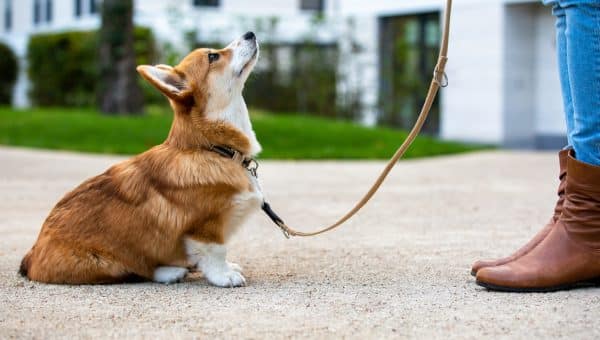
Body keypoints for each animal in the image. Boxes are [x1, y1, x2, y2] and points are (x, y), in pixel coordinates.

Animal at [20, 31, 262, 286]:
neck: (211, 147)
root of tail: (31, 256)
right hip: (108, 263)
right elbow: (216, 251)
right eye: (213, 56)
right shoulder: (205, 227)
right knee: (136, 270)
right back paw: (170, 272)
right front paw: (224, 276)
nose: (250, 33)